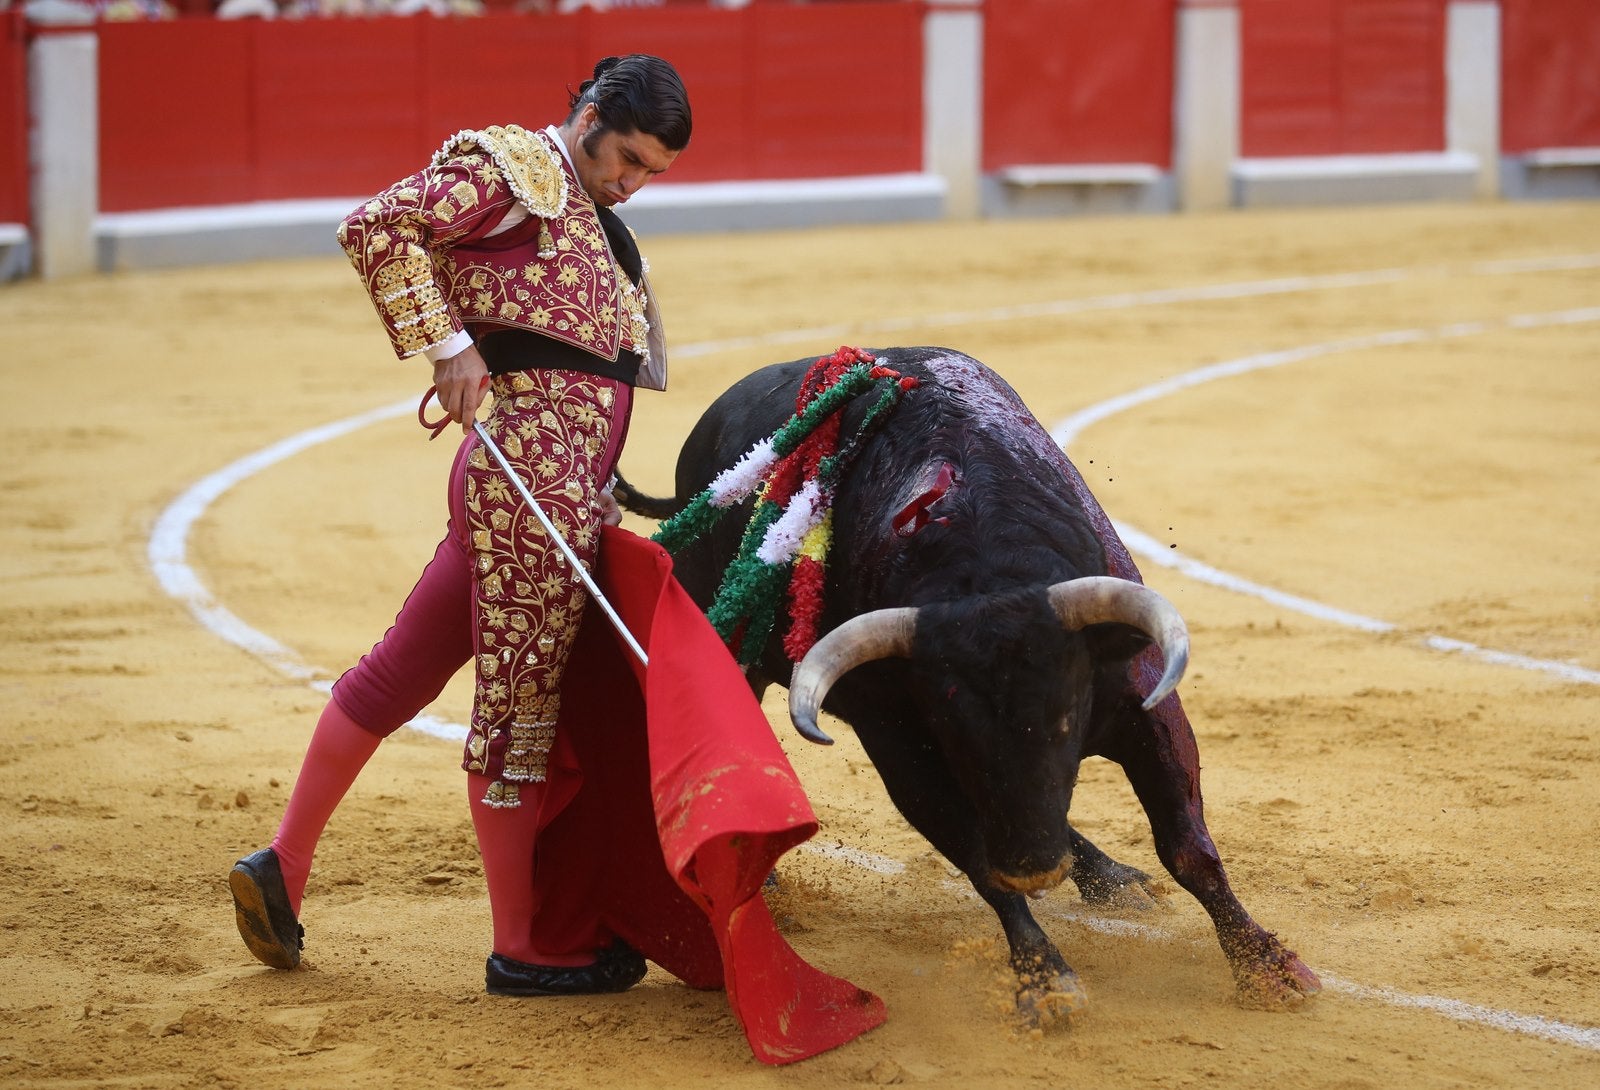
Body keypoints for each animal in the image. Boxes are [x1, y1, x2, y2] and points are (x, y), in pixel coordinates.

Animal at [617, 348, 1318, 1017]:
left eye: (1067, 715)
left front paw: (1267, 968)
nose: (1033, 870)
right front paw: (1046, 982)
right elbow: (979, 862)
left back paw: (1112, 879)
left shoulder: (1145, 705)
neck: (985, 567)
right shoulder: (904, 750)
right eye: (951, 727)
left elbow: (1187, 847)